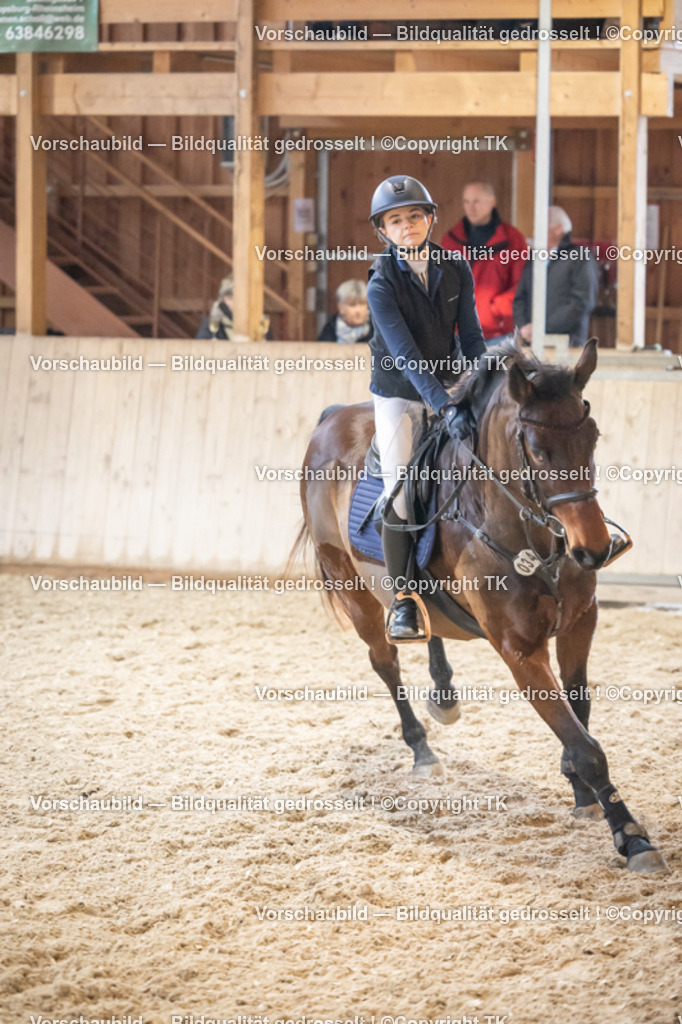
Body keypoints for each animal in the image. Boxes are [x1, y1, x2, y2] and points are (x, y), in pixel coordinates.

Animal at [289, 339, 668, 875]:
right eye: (537, 450)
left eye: (593, 437)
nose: (592, 549)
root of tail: (332, 418)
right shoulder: (519, 650)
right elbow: (584, 743)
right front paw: (632, 837)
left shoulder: (580, 623)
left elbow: (580, 713)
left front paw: (578, 789)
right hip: (352, 588)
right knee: (385, 661)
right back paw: (422, 749)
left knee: (427, 623)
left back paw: (443, 692)